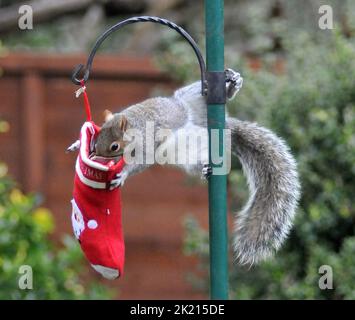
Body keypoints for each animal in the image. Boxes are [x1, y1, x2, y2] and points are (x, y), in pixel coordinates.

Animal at [93, 69, 302, 264]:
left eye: (114, 146)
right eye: (96, 139)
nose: (95, 154)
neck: (135, 126)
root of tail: (222, 129)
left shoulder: (147, 143)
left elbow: (140, 162)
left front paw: (122, 175)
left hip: (193, 99)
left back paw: (232, 85)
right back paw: (205, 167)